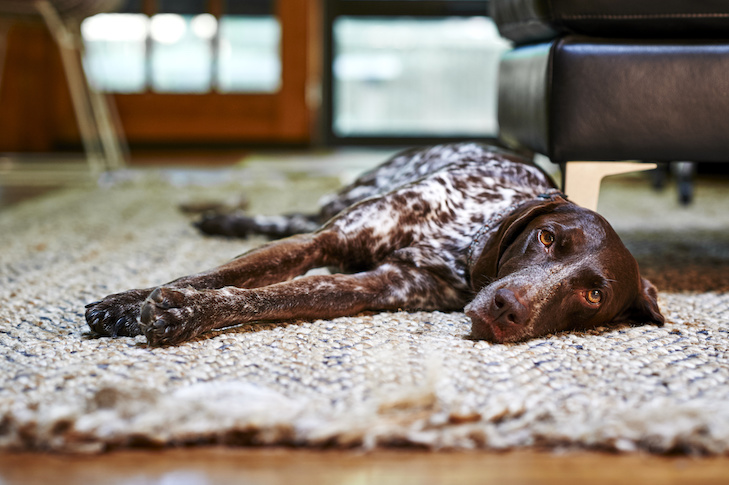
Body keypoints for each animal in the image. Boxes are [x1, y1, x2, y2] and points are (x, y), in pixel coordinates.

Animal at [86, 142, 664, 346]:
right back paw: (221, 217)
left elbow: (260, 297)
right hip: (344, 200)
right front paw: (126, 304)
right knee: (290, 216)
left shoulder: (374, 287)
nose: (508, 308)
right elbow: (221, 276)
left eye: (593, 295)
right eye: (547, 237)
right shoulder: (328, 240)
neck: (461, 238)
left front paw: (176, 312)